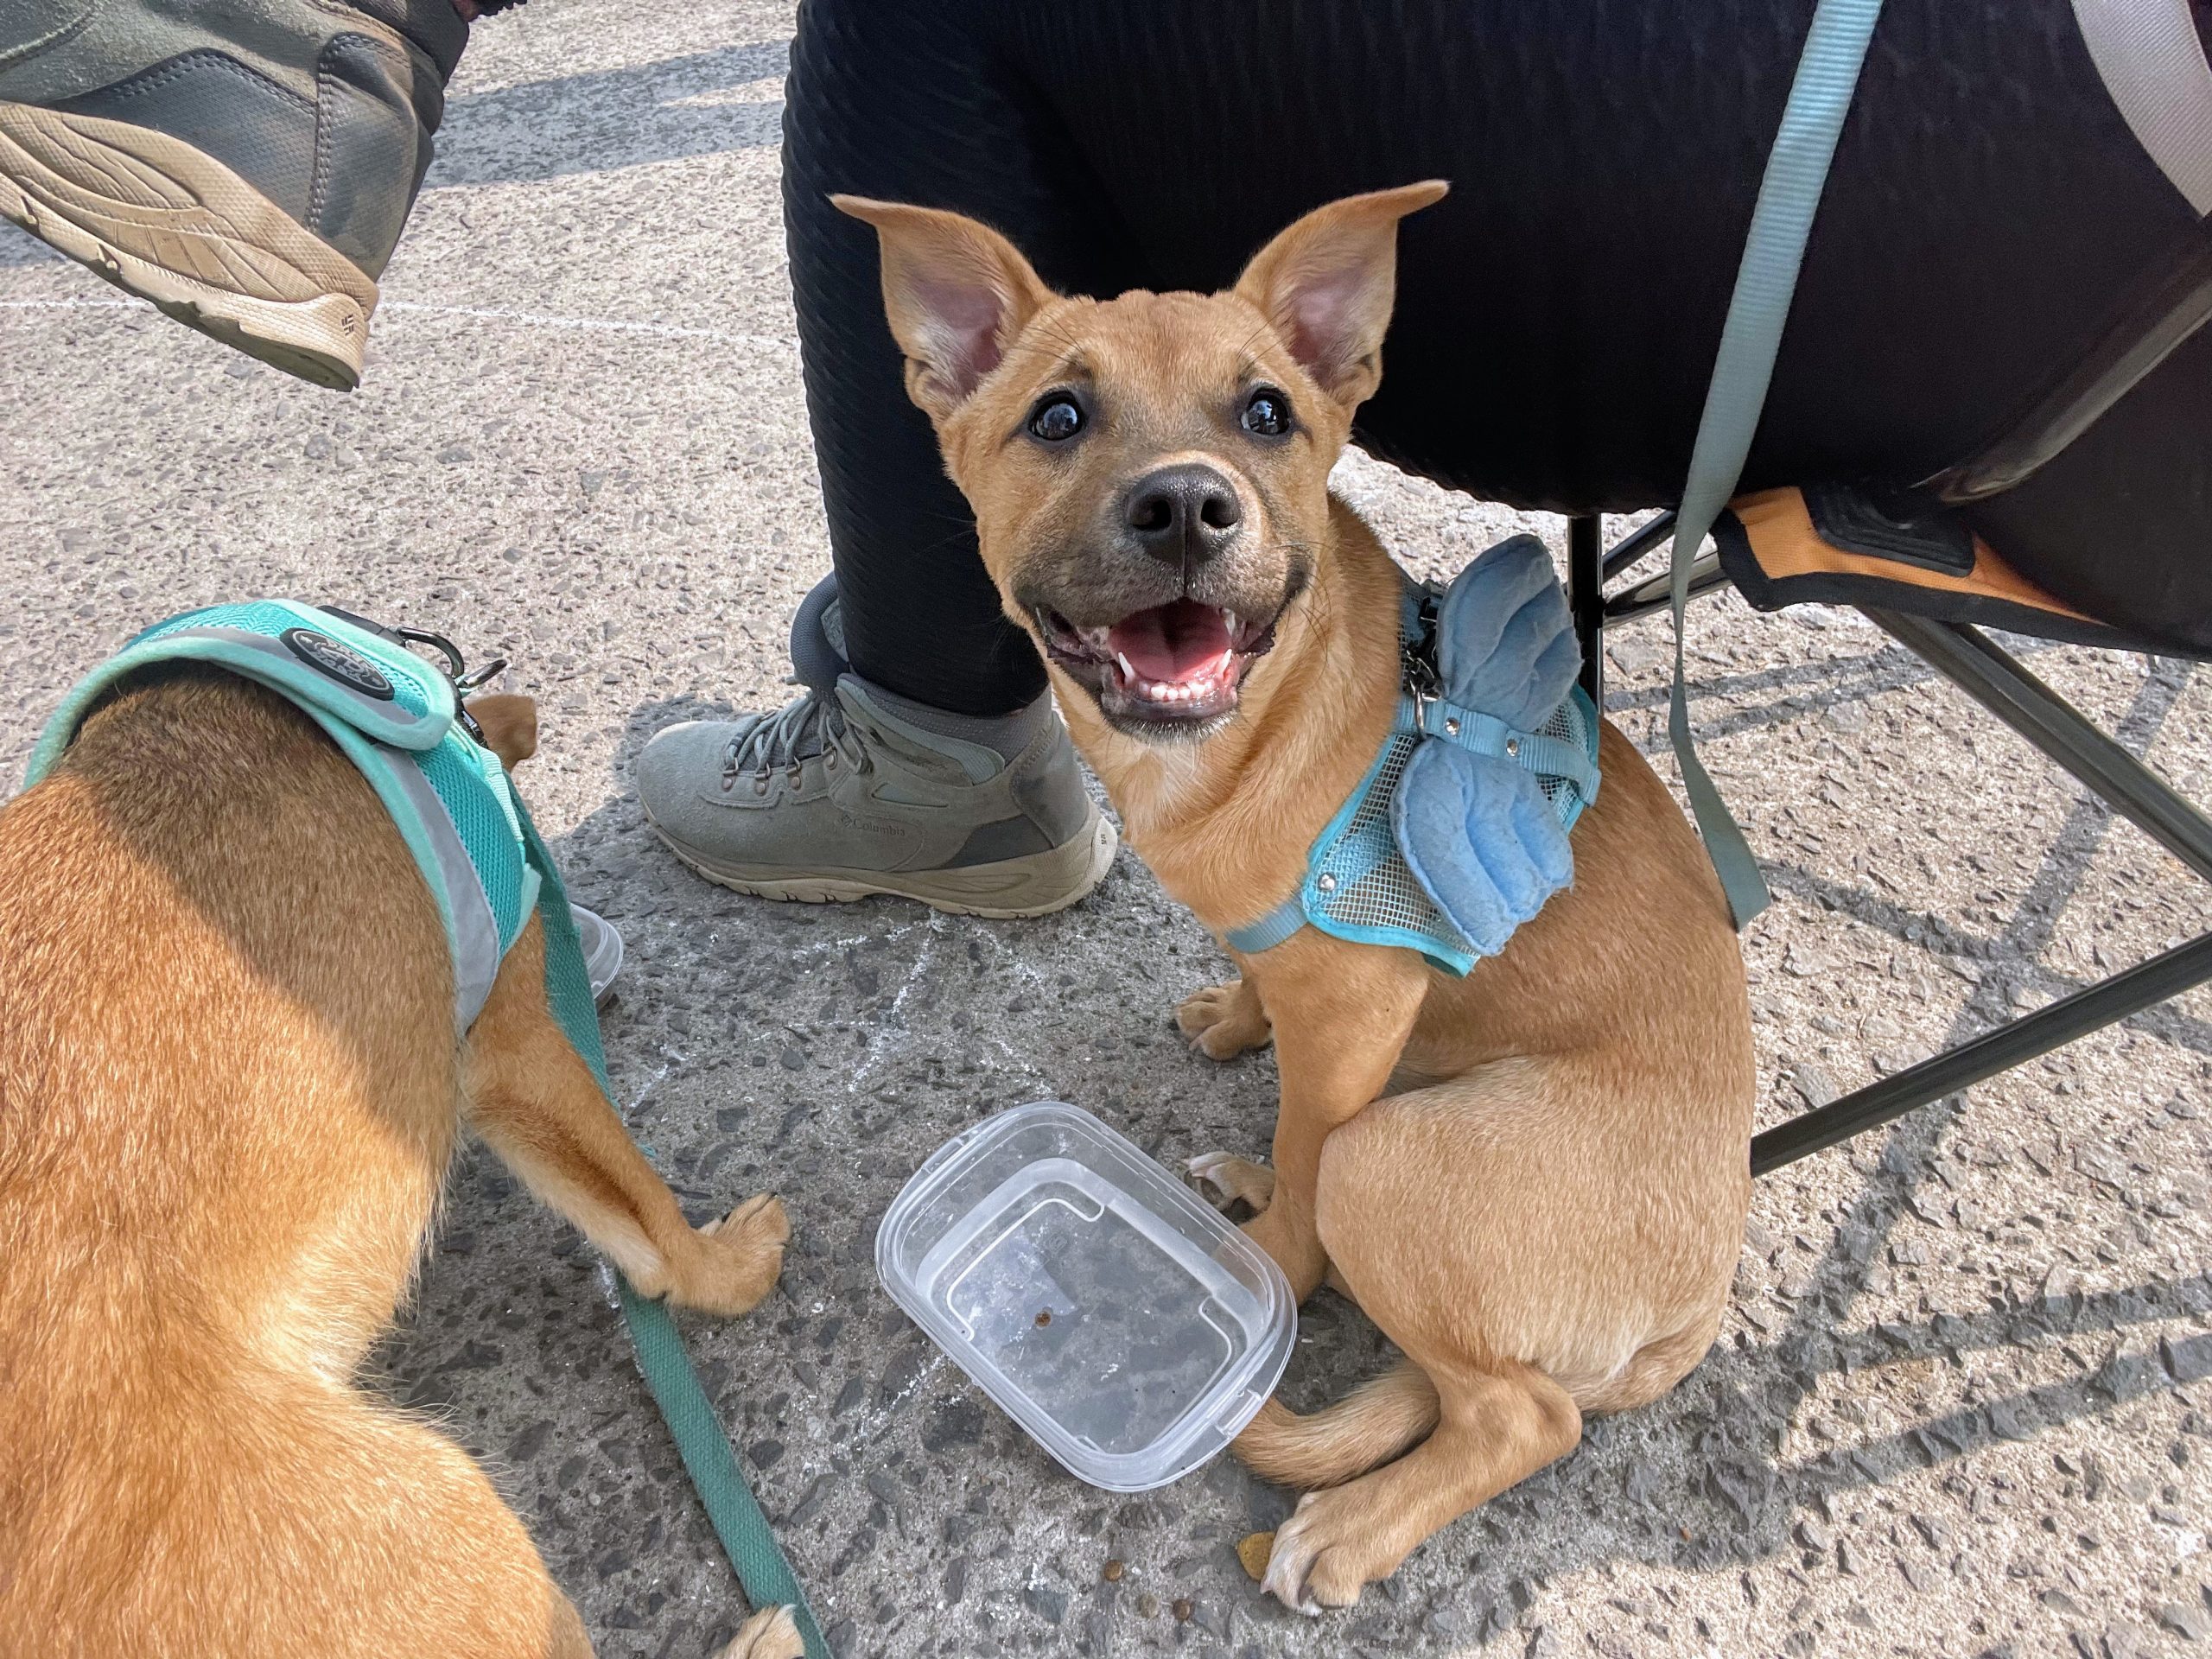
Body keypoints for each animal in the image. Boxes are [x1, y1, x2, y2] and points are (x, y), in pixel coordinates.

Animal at [836, 182, 1757, 1612]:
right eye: (1058, 416)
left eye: (1268, 413)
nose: (1184, 508)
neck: (1244, 737)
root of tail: (1697, 1309)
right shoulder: (1297, 974)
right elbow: (1262, 1008)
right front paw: (1233, 1021)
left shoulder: (1356, 1029)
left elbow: (1306, 1163)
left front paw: (1269, 1269)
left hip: (1402, 1161)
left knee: (1520, 1412)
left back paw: (1356, 1517)